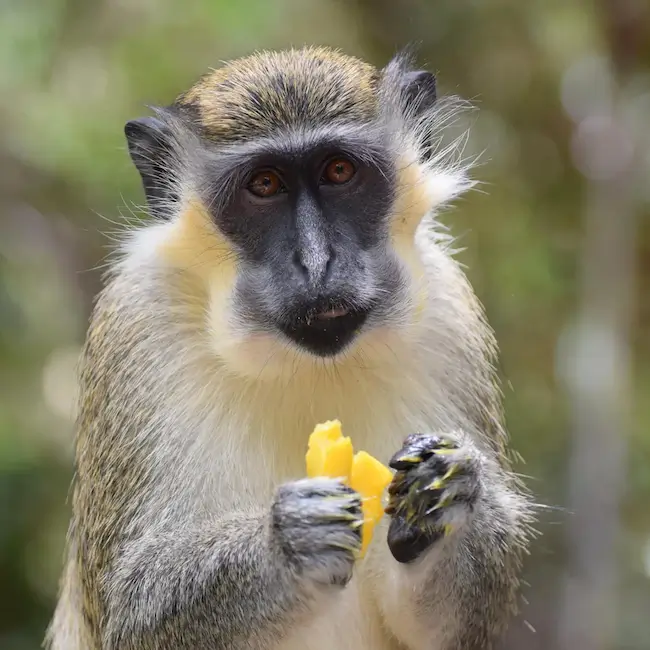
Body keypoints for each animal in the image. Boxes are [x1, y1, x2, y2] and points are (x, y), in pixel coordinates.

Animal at [45, 46, 533, 650]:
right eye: (264, 184)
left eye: (339, 172)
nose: (316, 263)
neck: (300, 363)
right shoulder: (135, 326)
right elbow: (131, 613)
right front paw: (288, 540)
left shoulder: (448, 312)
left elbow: (457, 632)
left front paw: (452, 491)